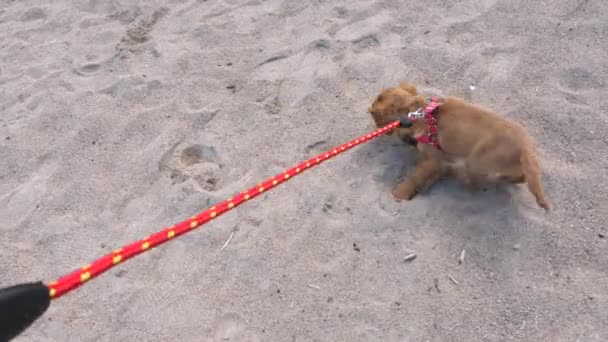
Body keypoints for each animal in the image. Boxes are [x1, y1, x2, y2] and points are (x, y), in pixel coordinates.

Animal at [366, 83, 552, 211]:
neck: (420, 112)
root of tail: (525, 146)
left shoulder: (432, 159)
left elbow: (415, 176)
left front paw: (400, 193)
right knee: (520, 177)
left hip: (476, 161)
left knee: (476, 182)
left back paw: (452, 171)